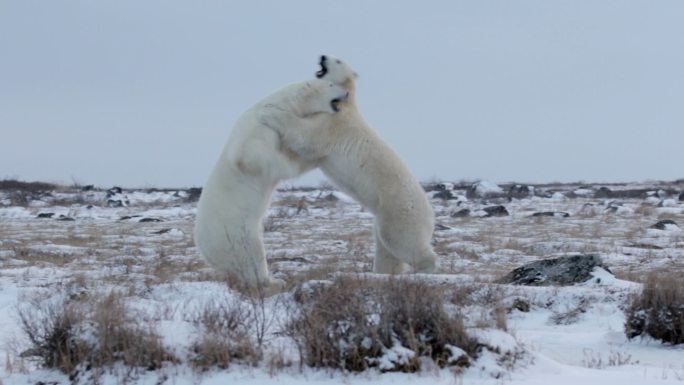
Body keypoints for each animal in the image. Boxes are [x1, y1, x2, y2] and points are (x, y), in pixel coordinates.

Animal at [195, 80, 350, 292]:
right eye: (331, 83)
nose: (347, 92)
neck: (280, 103)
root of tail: (205, 250)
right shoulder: (256, 130)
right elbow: (254, 158)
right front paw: (306, 160)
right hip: (235, 234)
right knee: (251, 259)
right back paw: (270, 283)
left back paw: (275, 279)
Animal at [260, 55, 436, 274]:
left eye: (337, 60)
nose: (322, 56)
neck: (344, 102)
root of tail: (430, 214)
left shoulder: (333, 123)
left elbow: (305, 135)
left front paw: (270, 112)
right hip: (384, 216)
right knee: (387, 249)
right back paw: (384, 272)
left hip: (400, 209)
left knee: (402, 242)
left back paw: (426, 268)